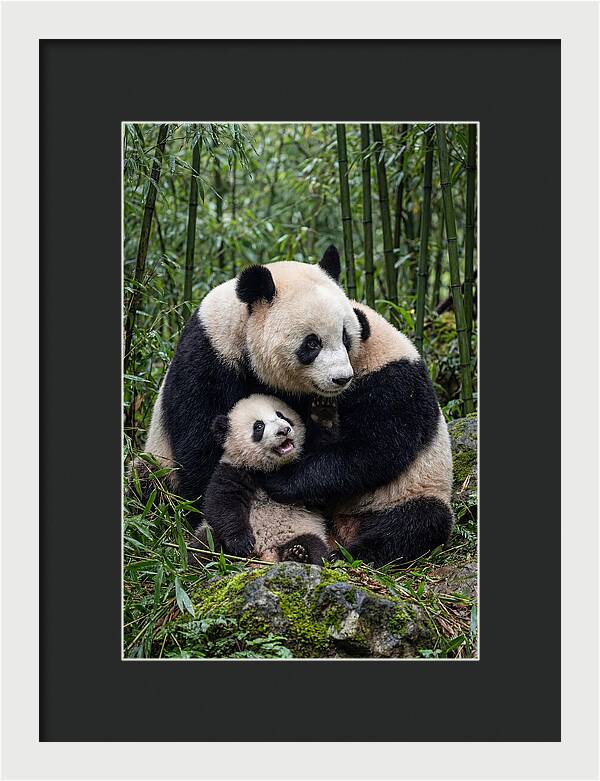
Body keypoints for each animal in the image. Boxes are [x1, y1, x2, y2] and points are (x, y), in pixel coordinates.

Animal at [188, 394, 330, 565]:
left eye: (281, 415)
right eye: (259, 426)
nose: (284, 430)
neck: (267, 468)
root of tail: (266, 553)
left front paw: (322, 414)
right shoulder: (233, 470)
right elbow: (222, 503)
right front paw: (241, 543)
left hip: (301, 530)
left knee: (314, 545)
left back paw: (298, 555)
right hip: (209, 532)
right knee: (204, 544)